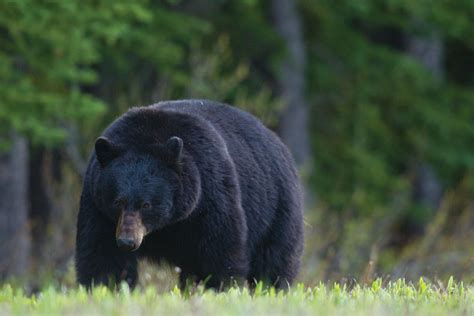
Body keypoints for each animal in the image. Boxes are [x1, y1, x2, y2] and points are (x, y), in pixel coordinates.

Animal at [74, 99, 304, 288]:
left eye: (146, 204)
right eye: (117, 201)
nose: (127, 241)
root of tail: (276, 139)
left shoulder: (210, 195)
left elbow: (219, 251)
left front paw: (218, 288)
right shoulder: (98, 206)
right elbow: (102, 255)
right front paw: (105, 286)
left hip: (277, 208)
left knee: (274, 260)